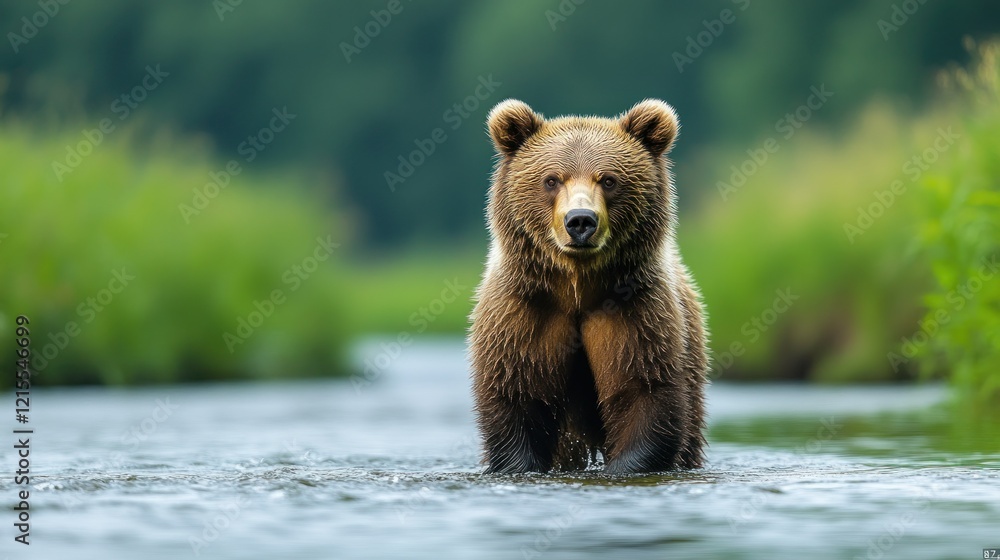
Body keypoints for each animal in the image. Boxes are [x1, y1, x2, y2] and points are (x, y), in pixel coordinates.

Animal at [468, 98, 708, 475]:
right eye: (551, 179)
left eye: (608, 179)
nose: (580, 221)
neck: (577, 286)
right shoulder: (524, 310)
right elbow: (516, 395)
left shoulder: (635, 311)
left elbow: (642, 392)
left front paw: (623, 467)